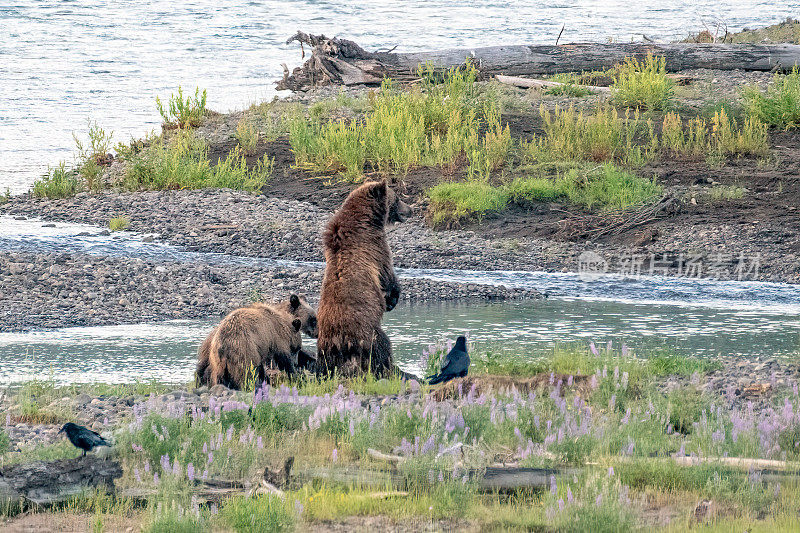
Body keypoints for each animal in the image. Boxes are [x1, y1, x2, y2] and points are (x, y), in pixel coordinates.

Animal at [314, 181, 410, 376]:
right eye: (397, 198)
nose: (410, 209)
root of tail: (339, 343)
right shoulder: (375, 246)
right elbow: (387, 274)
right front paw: (392, 299)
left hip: (325, 347)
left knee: (325, 364)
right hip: (367, 331)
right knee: (382, 346)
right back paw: (392, 368)